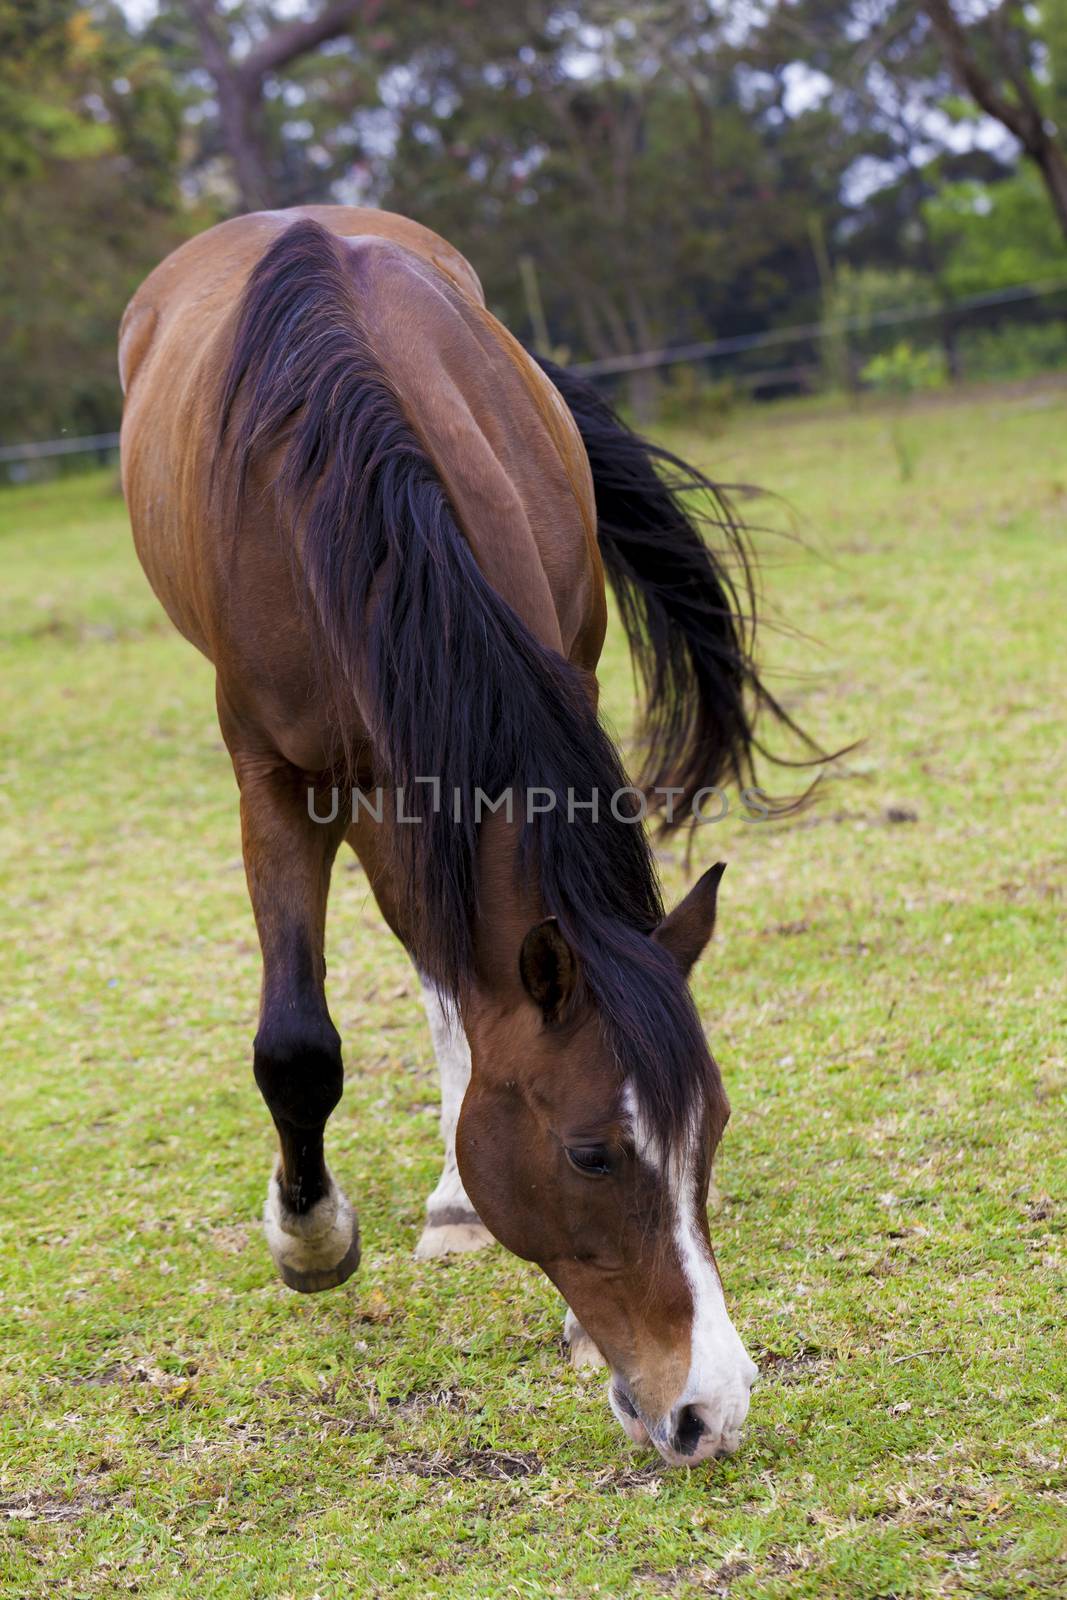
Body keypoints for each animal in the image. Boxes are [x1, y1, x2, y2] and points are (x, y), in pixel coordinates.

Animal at [116, 206, 799, 1465]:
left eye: (712, 1128)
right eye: (588, 1151)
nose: (707, 1406)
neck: (347, 497)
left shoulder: (520, 704)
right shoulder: (275, 775)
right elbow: (297, 1044)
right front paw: (310, 1238)